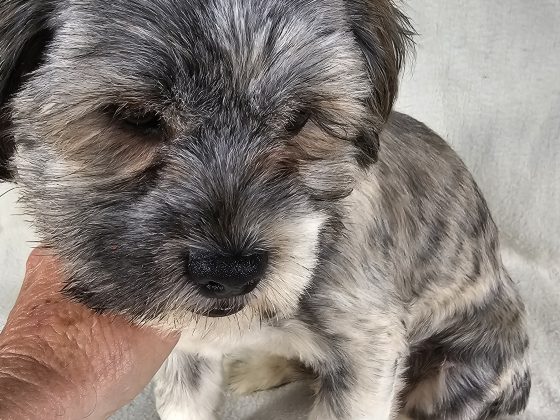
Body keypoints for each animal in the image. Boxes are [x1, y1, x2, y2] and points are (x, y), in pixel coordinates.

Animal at [0, 1, 530, 419]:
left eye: (300, 120)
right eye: (134, 118)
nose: (231, 273)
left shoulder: (369, 352)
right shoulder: (182, 347)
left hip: (458, 370)